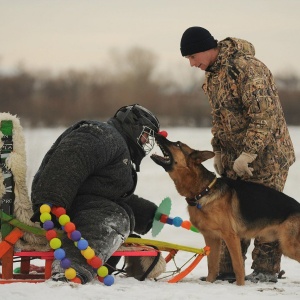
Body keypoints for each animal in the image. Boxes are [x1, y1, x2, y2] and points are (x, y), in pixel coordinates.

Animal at [151, 134, 300, 286]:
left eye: (178, 144)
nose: (158, 134)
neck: (203, 191)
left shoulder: (230, 237)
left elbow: (238, 266)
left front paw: (240, 286)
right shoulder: (212, 238)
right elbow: (212, 266)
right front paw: (209, 283)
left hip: (289, 246)